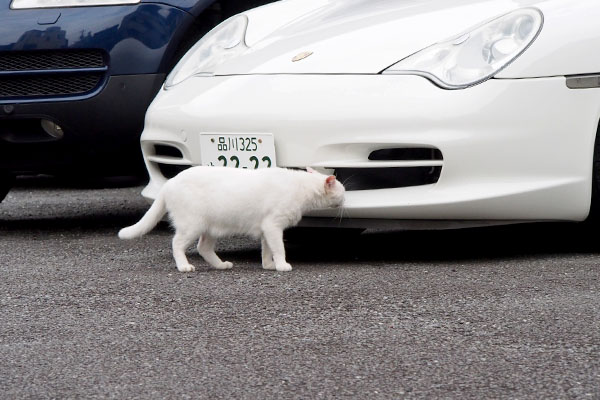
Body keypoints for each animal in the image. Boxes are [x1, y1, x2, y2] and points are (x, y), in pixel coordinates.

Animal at [119, 165, 344, 272]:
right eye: (342, 191)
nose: (345, 199)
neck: (302, 187)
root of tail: (169, 182)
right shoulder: (273, 226)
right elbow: (279, 248)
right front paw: (282, 265)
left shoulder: (266, 229)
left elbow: (267, 250)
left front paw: (268, 265)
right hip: (192, 225)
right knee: (176, 244)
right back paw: (184, 266)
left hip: (209, 228)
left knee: (203, 248)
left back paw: (221, 265)